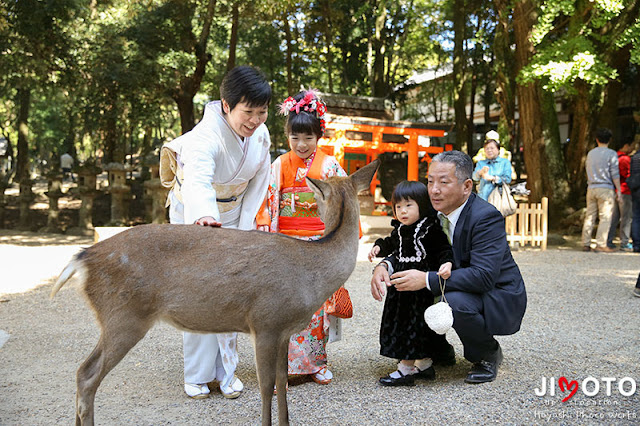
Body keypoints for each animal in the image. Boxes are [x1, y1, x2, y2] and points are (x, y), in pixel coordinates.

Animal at [51, 158, 380, 424]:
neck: (311, 275)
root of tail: (82, 258)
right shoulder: (265, 321)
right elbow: (266, 387)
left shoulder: (284, 330)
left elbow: (282, 382)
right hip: (123, 316)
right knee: (87, 374)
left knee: (83, 372)